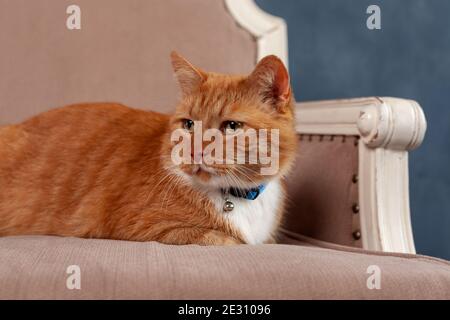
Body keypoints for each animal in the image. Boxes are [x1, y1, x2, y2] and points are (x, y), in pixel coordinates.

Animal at [0, 52, 298, 245]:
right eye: (189, 124)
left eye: (232, 126)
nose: (194, 151)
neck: (236, 196)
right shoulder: (148, 227)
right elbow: (225, 241)